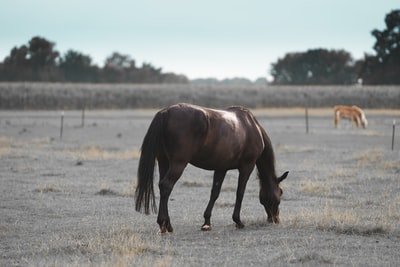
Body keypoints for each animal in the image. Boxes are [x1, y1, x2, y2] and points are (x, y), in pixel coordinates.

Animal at [136, 103, 290, 233]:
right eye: (281, 192)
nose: (275, 219)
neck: (251, 126)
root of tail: (166, 112)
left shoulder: (221, 168)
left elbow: (215, 193)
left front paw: (207, 222)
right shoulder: (247, 166)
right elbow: (240, 192)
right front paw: (238, 221)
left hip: (164, 162)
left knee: (162, 187)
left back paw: (167, 224)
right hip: (178, 163)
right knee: (166, 186)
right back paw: (164, 224)